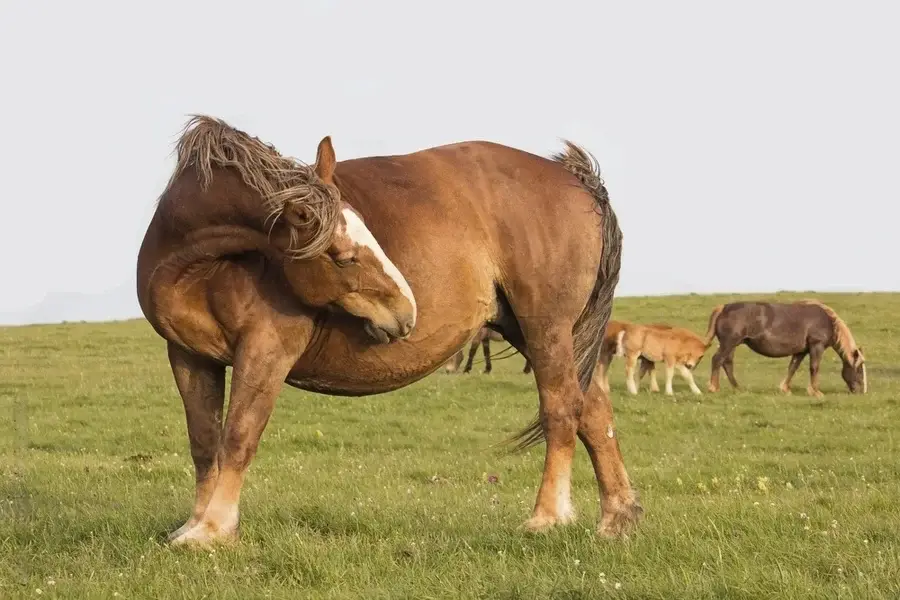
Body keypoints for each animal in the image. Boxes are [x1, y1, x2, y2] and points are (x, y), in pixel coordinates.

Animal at [136, 115, 641, 547]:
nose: (406, 311)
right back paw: (616, 519)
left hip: (546, 328)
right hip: (538, 333)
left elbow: (239, 436)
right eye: (344, 256)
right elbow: (205, 443)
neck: (202, 269)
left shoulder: (265, 351)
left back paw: (547, 517)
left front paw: (214, 531)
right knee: (594, 413)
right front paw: (193, 525)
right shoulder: (189, 357)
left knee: (562, 409)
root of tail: (574, 179)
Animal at [704, 300, 867, 397]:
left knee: (727, 363)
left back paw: (738, 388)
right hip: (729, 343)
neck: (827, 321)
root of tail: (724, 308)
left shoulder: (801, 351)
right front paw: (816, 391)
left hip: (732, 345)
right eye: (859, 369)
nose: (861, 391)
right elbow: (814, 367)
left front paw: (785, 388)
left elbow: (792, 368)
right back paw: (714, 387)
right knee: (717, 360)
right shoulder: (816, 346)